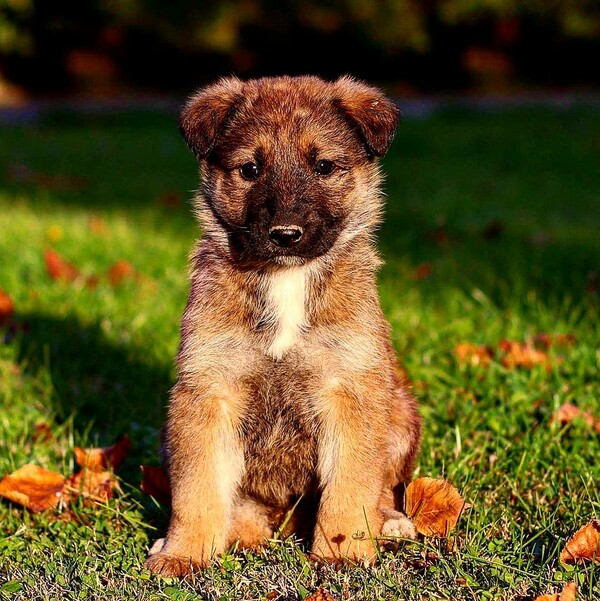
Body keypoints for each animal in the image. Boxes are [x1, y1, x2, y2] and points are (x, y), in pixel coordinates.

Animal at [145, 75, 422, 576]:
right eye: (250, 169)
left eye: (325, 166)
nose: (286, 234)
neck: (285, 280)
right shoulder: (208, 390)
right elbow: (198, 489)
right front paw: (183, 552)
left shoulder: (350, 389)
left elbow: (350, 487)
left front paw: (343, 552)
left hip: (401, 413)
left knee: (384, 489)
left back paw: (389, 522)